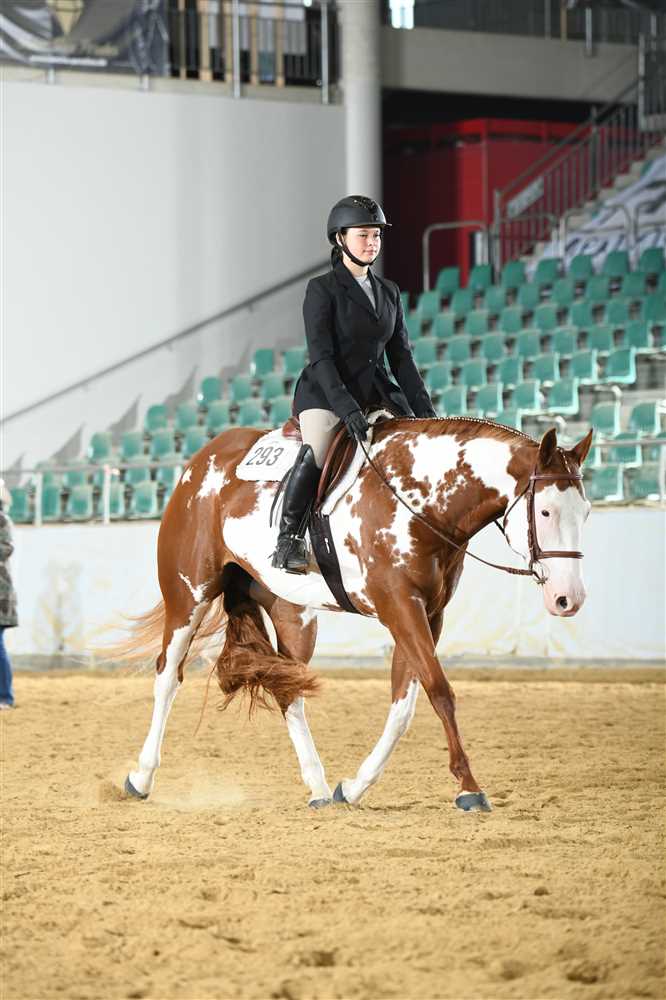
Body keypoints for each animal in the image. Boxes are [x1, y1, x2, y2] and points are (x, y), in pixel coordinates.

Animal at [121, 416, 593, 813]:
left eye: (585, 513)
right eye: (546, 511)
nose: (568, 598)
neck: (418, 501)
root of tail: (202, 459)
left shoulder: (427, 614)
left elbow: (404, 705)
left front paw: (353, 787)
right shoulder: (399, 606)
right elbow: (440, 691)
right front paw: (469, 788)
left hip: (293, 615)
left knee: (288, 691)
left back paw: (317, 787)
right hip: (189, 595)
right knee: (168, 676)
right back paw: (141, 777)